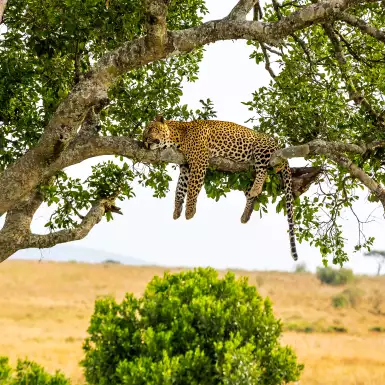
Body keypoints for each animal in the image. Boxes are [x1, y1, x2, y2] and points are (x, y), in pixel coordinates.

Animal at [142, 112, 298, 260]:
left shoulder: (199, 161)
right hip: (248, 173)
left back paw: (256, 188)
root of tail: (277, 145)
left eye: (150, 129)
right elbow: (180, 189)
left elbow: (192, 188)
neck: (177, 136)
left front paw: (189, 211)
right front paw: (176, 210)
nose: (144, 142)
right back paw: (246, 213)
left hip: (261, 148)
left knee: (264, 171)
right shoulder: (185, 167)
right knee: (251, 193)